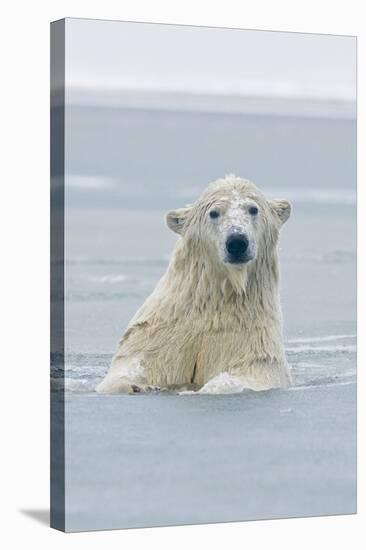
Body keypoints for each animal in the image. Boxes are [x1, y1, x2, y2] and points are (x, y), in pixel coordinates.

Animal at [96, 175, 292, 394]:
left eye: (253, 209)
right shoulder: (161, 332)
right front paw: (135, 385)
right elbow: (136, 362)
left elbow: (250, 371)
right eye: (213, 213)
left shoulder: (252, 339)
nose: (237, 241)